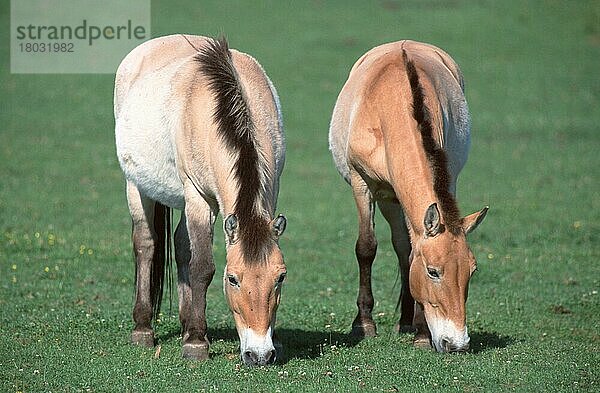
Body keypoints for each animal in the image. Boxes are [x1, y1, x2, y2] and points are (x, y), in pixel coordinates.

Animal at [116, 35, 290, 366]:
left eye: (280, 277)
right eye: (232, 279)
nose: (259, 354)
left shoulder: (271, 191)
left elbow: (190, 256)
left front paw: (194, 333)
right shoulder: (199, 198)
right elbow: (203, 267)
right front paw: (196, 343)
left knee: (181, 246)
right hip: (136, 186)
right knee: (145, 244)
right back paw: (143, 329)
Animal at [328, 40, 488, 352]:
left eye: (472, 271)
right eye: (433, 271)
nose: (457, 343)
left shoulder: (446, 183)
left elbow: (412, 251)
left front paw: (422, 333)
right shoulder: (362, 184)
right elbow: (366, 247)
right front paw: (363, 324)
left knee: (404, 249)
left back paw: (406, 322)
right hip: (388, 198)